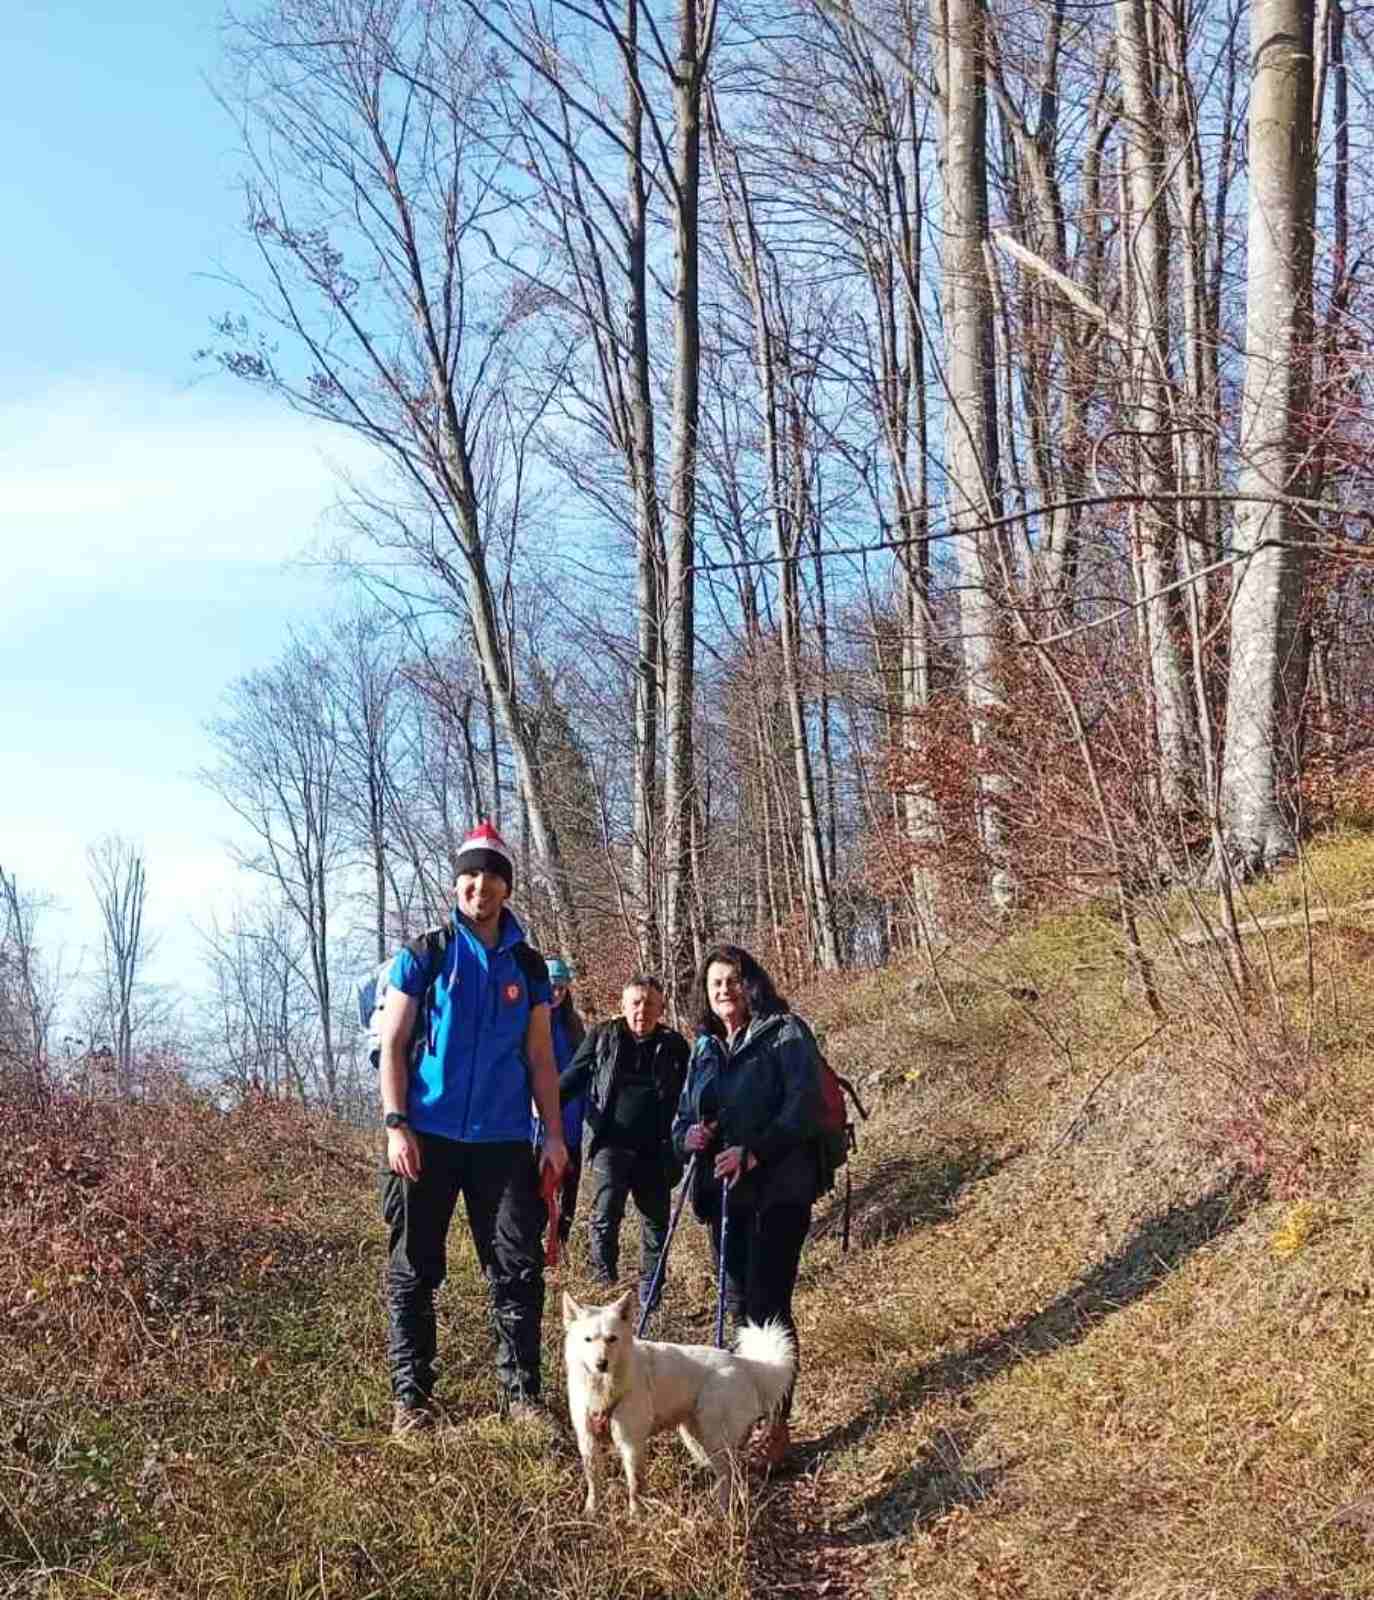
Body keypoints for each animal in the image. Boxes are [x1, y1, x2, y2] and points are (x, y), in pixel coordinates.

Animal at [562, 1288, 796, 1515]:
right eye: (587, 1339)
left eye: (612, 1338)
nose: (601, 1364)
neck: (603, 1388)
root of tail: (743, 1363)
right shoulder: (588, 1442)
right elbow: (593, 1484)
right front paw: (591, 1512)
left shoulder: (631, 1444)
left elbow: (635, 1486)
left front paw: (636, 1518)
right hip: (696, 1438)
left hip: (714, 1439)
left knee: (727, 1476)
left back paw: (720, 1512)